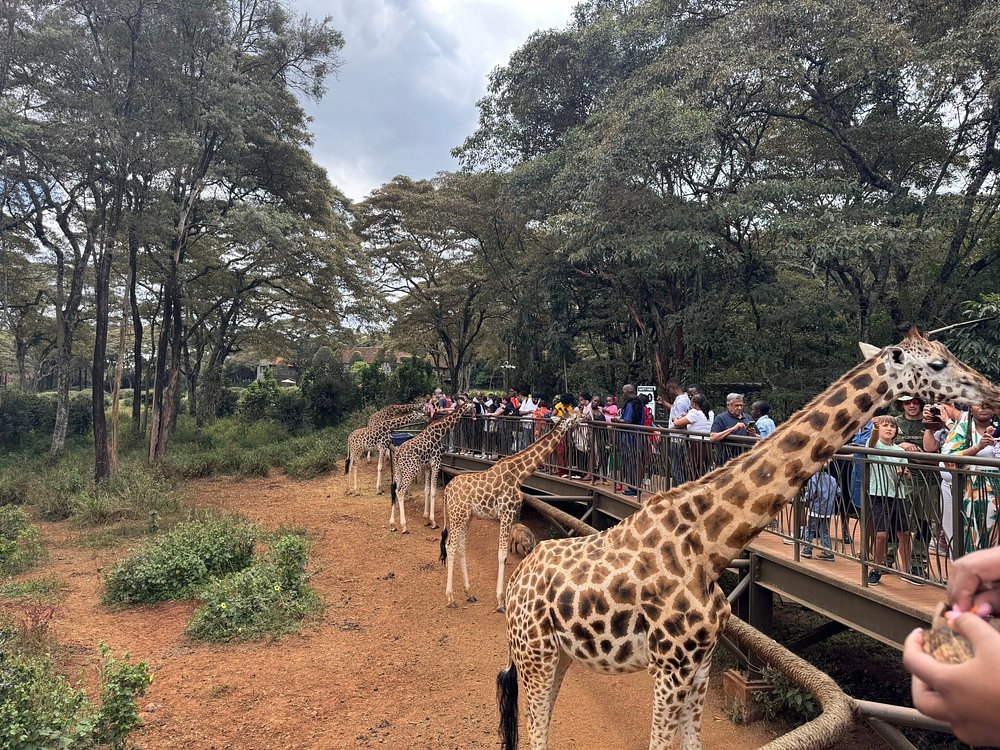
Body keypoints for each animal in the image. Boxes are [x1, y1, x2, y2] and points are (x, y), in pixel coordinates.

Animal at [389, 401, 473, 532]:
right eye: (473, 406)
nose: (474, 415)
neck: (440, 431)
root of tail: (397, 454)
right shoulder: (436, 463)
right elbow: (433, 491)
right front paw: (433, 522)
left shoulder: (427, 466)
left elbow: (427, 490)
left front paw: (426, 518)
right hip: (410, 470)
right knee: (400, 491)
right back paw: (404, 526)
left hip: (399, 470)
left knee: (394, 490)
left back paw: (392, 524)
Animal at [439, 413, 581, 611]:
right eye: (573, 417)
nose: (581, 418)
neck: (520, 473)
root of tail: (447, 490)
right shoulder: (506, 512)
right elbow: (502, 555)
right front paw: (500, 601)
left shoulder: (512, 513)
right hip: (457, 515)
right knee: (450, 546)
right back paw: (451, 598)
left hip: (467, 516)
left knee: (460, 547)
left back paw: (469, 593)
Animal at [497, 329, 1000, 750]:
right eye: (936, 362)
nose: (992, 391)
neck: (709, 544)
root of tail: (521, 580)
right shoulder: (669, 664)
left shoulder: (698, 664)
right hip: (535, 651)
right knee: (535, 733)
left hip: (558, 654)